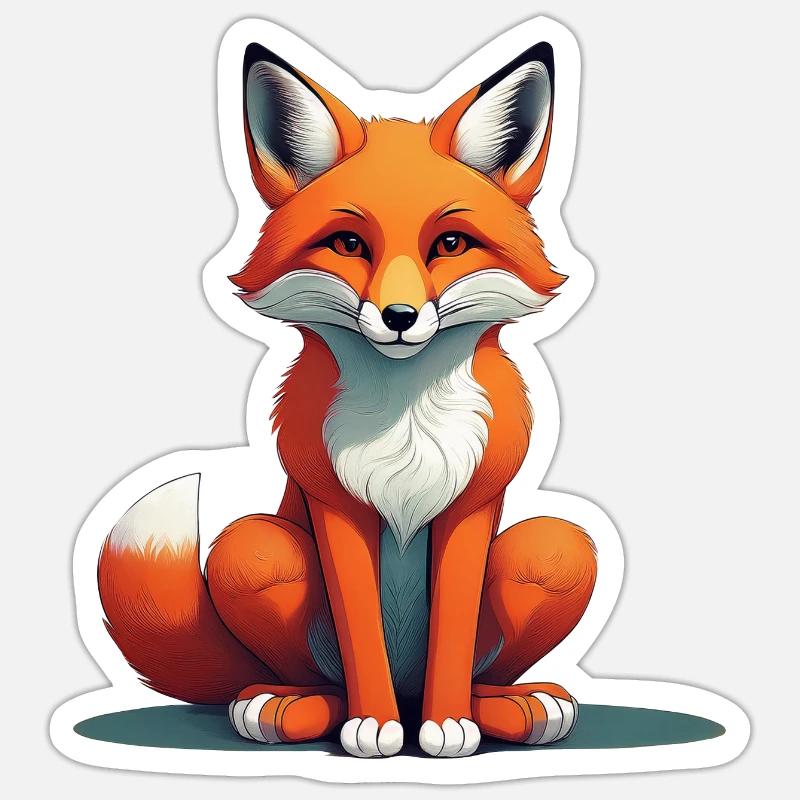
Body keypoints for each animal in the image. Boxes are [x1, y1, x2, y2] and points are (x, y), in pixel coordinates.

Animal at [97, 39, 597, 758]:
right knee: (304, 673)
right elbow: (359, 628)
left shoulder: (470, 507)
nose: (399, 316)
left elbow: (452, 630)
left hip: (555, 552)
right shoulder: (335, 505)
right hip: (255, 552)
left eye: (449, 244)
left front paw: (450, 724)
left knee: (497, 649)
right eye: (349, 244)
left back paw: (508, 705)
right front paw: (375, 727)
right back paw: (292, 705)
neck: (406, 418)